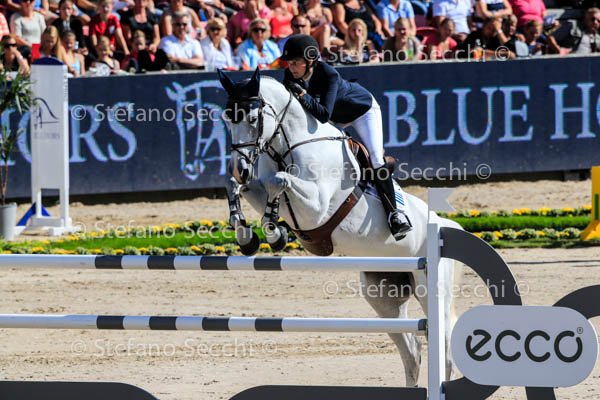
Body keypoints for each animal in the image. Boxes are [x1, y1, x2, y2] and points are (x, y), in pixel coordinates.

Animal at [217, 68, 463, 387]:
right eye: (226, 118)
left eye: (252, 117)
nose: (240, 167)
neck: (290, 145)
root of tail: (445, 225)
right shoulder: (263, 190)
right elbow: (241, 186)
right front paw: (248, 235)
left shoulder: (317, 208)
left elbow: (278, 181)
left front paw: (273, 230)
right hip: (383, 295)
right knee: (411, 350)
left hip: (431, 287)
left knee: (443, 345)